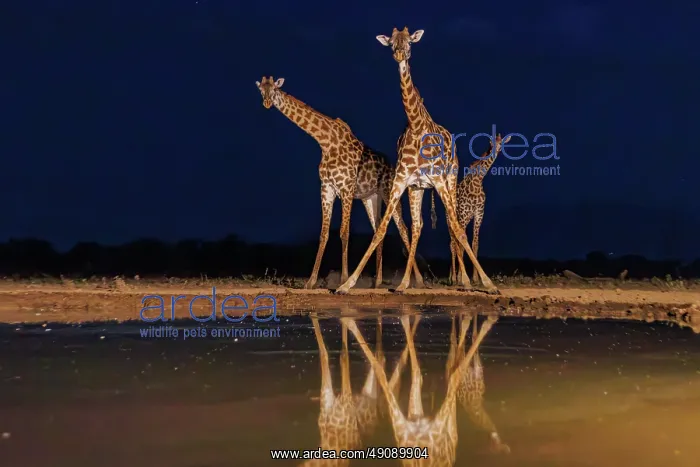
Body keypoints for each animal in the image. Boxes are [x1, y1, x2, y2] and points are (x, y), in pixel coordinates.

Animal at [255, 76, 424, 289]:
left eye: (275, 90)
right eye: (261, 91)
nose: (266, 103)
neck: (326, 142)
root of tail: (392, 166)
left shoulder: (346, 188)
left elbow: (344, 232)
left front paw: (343, 279)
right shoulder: (327, 188)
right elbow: (324, 233)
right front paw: (311, 281)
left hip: (389, 193)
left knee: (403, 228)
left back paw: (417, 280)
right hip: (370, 198)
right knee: (378, 228)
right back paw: (377, 281)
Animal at [335, 28, 499, 294]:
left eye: (410, 42)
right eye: (392, 43)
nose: (400, 54)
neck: (415, 125)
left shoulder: (439, 181)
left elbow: (457, 229)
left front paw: (488, 284)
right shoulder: (402, 181)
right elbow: (382, 230)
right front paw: (346, 285)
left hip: (450, 181)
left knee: (453, 226)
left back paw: (465, 281)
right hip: (418, 189)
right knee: (418, 226)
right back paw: (404, 283)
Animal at [450, 134, 511, 286]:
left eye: (501, 144)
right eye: (491, 144)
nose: (495, 152)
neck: (477, 182)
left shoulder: (479, 214)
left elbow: (474, 244)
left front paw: (476, 279)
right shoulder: (464, 215)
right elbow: (461, 244)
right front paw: (461, 278)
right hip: (453, 219)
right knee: (452, 244)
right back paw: (453, 278)